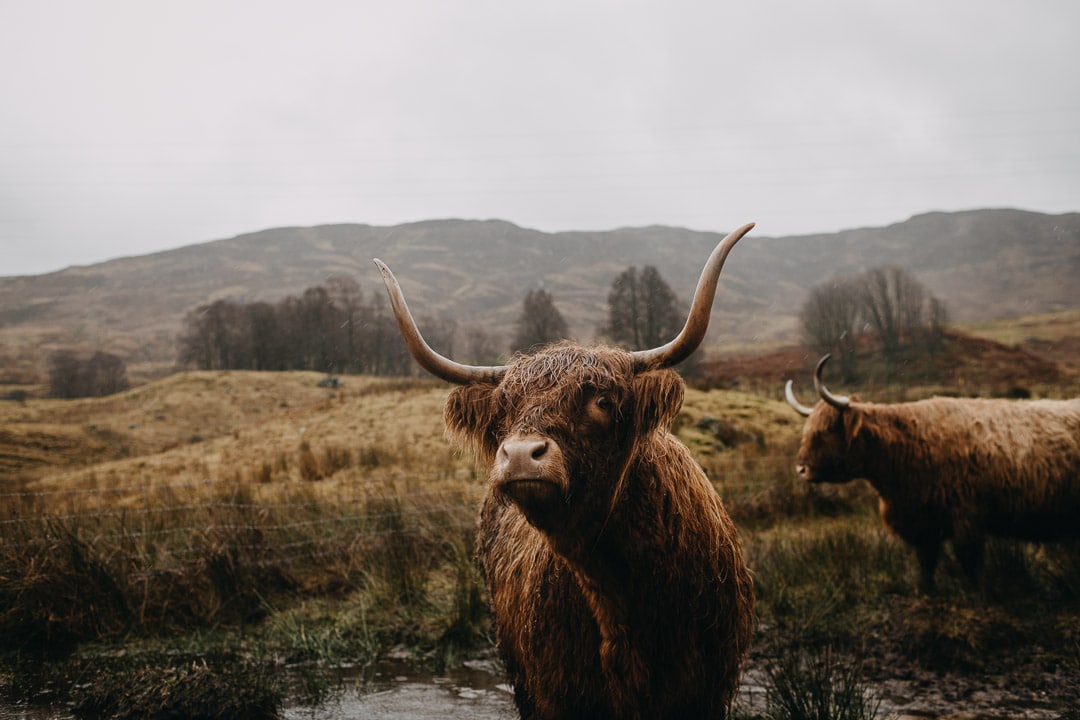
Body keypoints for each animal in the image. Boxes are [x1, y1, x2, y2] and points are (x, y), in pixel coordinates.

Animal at [373, 223, 756, 720]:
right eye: (503, 410)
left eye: (603, 401)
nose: (520, 454)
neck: (619, 597)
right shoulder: (557, 692)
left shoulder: (703, 692)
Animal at [785, 354, 1080, 592]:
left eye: (827, 430)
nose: (801, 469)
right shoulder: (922, 522)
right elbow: (926, 562)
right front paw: (925, 591)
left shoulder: (966, 519)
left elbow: (969, 564)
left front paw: (976, 594)